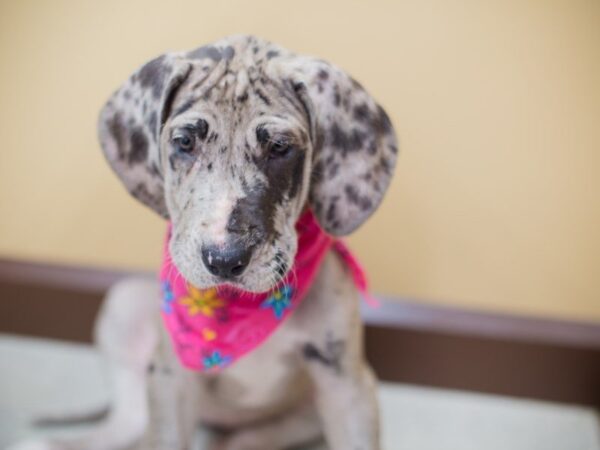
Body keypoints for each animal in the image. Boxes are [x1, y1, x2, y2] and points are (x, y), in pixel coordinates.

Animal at [9, 35, 398, 450]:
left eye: (280, 147)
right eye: (184, 142)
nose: (225, 259)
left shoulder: (347, 386)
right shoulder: (171, 379)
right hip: (125, 304)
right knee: (131, 423)